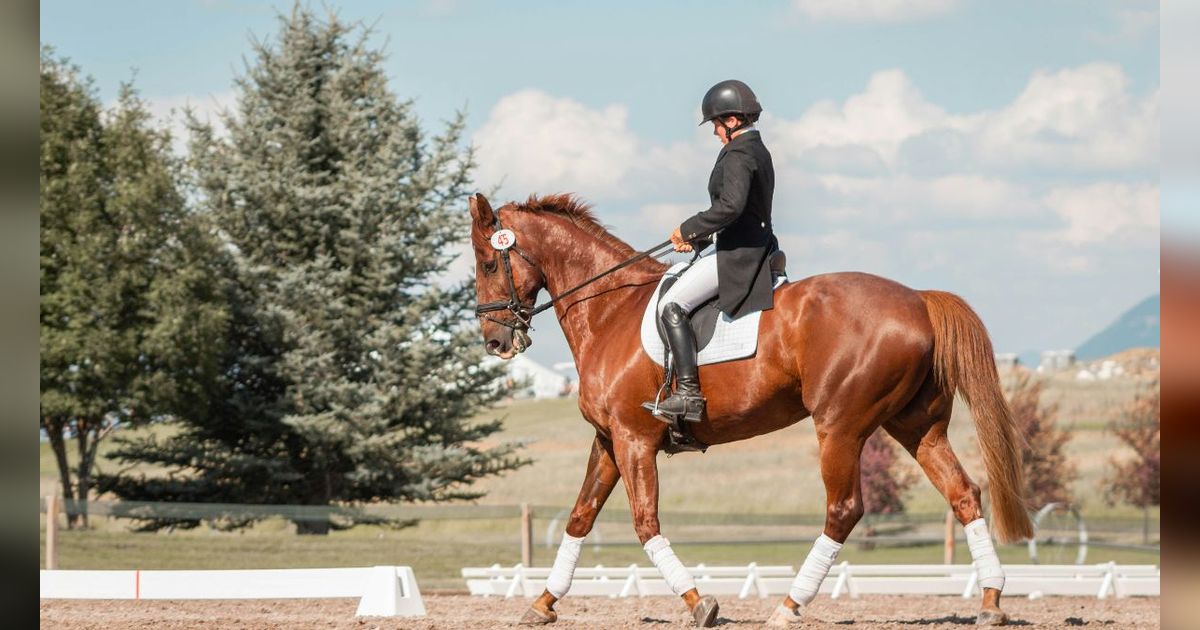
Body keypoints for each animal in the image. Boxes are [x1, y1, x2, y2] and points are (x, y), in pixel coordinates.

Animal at [468, 193, 1032, 624]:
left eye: (489, 262)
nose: (495, 341)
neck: (610, 310)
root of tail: (917, 299)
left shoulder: (634, 439)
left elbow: (645, 523)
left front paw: (700, 604)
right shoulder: (609, 439)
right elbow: (581, 517)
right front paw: (542, 604)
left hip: (840, 427)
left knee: (844, 510)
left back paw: (789, 606)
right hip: (917, 426)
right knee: (963, 494)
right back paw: (990, 601)